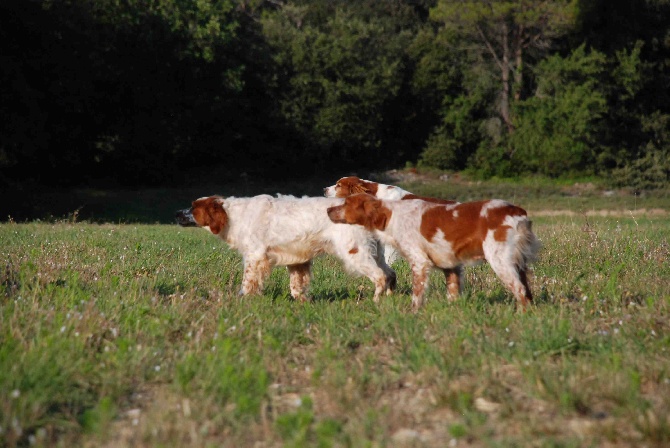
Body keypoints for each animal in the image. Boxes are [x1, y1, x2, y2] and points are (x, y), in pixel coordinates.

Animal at [178, 195, 400, 302]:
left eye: (193, 208)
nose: (176, 213)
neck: (235, 216)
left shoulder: (254, 256)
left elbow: (247, 283)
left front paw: (242, 299)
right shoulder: (297, 260)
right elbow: (296, 287)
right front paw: (303, 301)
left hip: (355, 253)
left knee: (380, 276)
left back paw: (376, 301)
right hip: (375, 254)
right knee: (390, 274)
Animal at [328, 192, 544, 312]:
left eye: (346, 204)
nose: (328, 210)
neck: (390, 215)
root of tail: (518, 212)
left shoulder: (419, 262)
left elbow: (417, 294)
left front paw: (412, 313)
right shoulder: (451, 266)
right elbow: (452, 294)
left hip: (500, 261)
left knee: (520, 291)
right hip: (518, 263)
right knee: (527, 291)